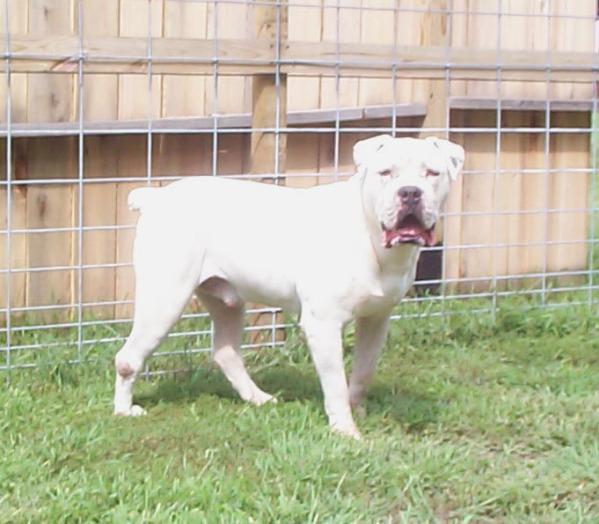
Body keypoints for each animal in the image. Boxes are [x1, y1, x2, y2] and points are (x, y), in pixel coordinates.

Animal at [115, 135, 466, 438]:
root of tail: (155, 197)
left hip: (227, 300)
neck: (371, 237)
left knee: (226, 352)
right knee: (128, 358)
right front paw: (345, 430)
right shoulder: (323, 324)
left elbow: (363, 372)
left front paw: (358, 411)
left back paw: (258, 398)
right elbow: (336, 382)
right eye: (385, 173)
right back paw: (124, 411)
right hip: (165, 299)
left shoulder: (376, 319)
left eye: (432, 173)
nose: (410, 192)